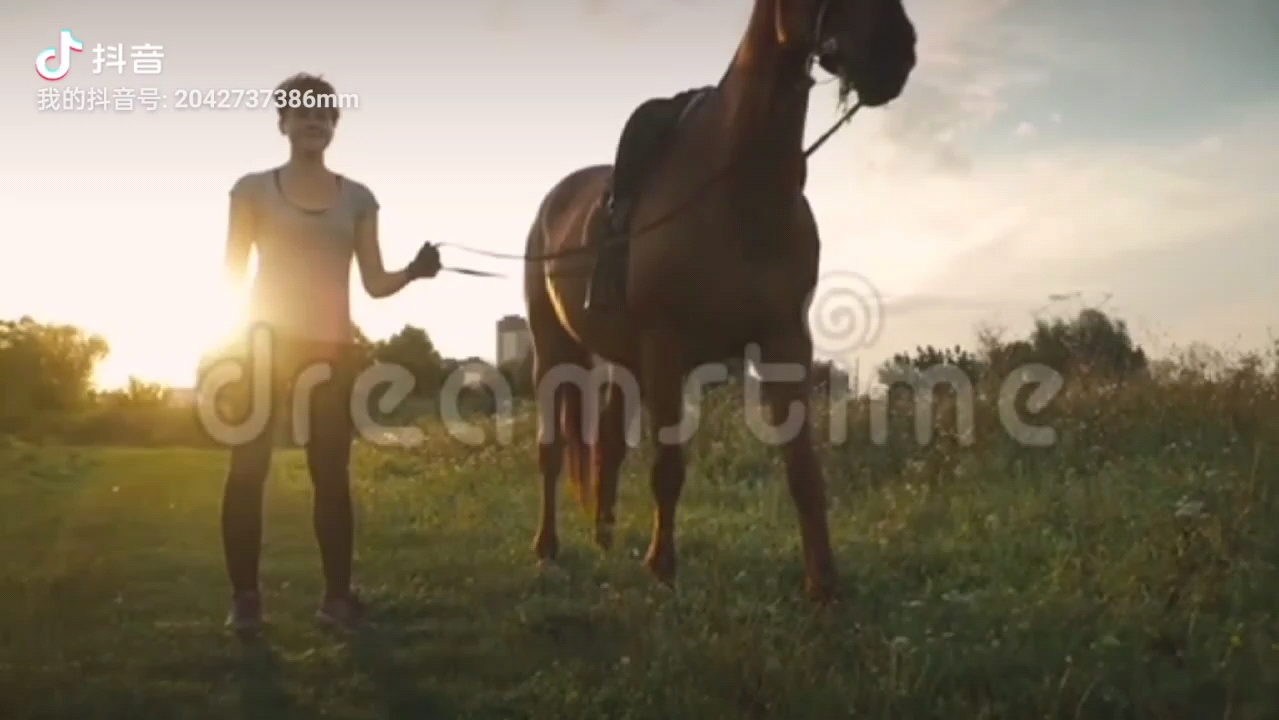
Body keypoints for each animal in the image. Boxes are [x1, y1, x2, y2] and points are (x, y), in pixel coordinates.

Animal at [521, 0, 920, 603]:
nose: (894, 49)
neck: (737, 185)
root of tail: (552, 202)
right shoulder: (666, 349)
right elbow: (668, 467)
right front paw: (662, 567)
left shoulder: (785, 343)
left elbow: (803, 470)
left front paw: (823, 581)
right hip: (555, 351)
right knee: (549, 452)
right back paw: (547, 548)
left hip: (623, 363)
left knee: (607, 445)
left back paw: (604, 537)